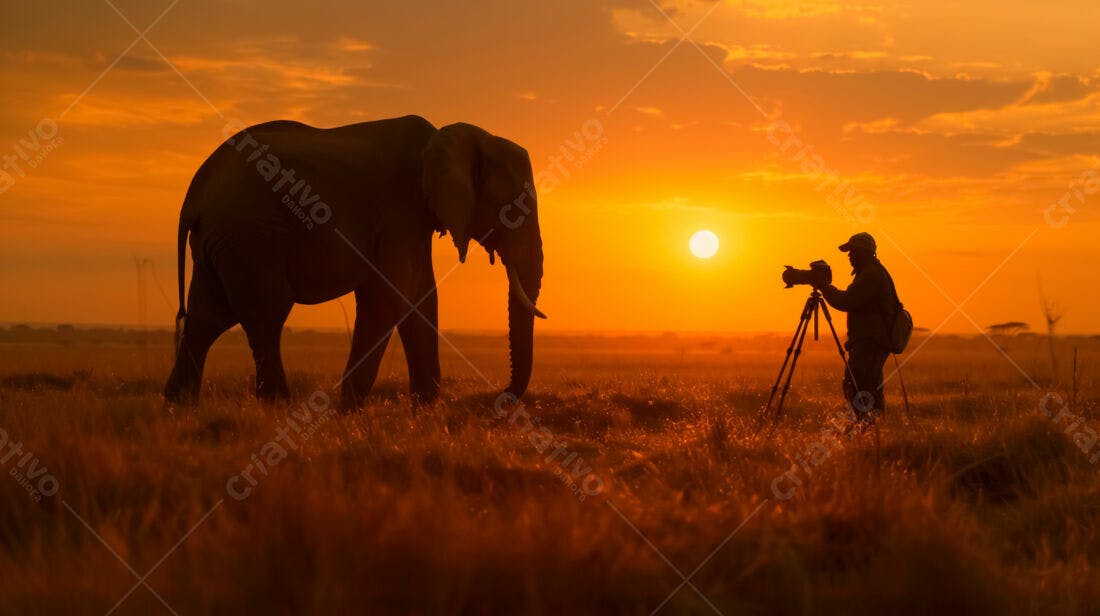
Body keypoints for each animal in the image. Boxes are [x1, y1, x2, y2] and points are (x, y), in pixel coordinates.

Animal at [163, 115, 546, 408]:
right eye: (513, 210)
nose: (501, 395)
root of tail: (194, 193)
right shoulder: (399, 211)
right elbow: (398, 295)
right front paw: (351, 409)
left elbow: (407, 293)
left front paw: (419, 409)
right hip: (250, 234)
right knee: (265, 312)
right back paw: (276, 406)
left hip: (222, 240)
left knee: (208, 316)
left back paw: (178, 406)